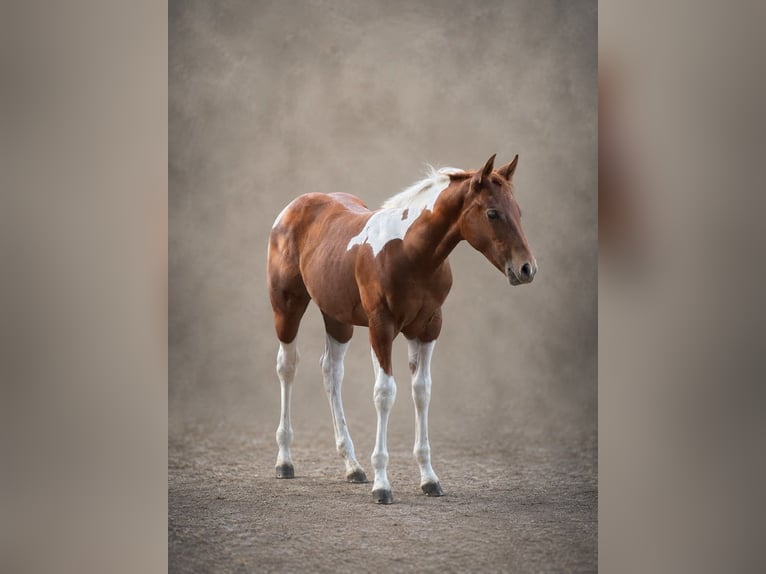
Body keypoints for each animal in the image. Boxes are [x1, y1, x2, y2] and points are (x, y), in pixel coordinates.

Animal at [267, 154, 537, 504]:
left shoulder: (428, 327)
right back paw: (285, 461)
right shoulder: (381, 326)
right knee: (287, 366)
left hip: (337, 316)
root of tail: (295, 205)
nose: (527, 268)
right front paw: (382, 485)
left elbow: (422, 391)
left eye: (518, 211)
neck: (411, 253)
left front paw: (429, 478)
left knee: (331, 371)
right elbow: (384, 393)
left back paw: (352, 466)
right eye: (492, 213)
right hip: (287, 305)